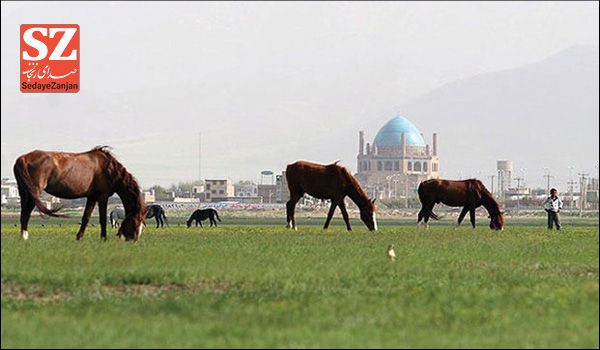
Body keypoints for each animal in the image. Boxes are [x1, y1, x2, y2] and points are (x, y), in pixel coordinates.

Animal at [13, 147, 147, 241]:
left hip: (24, 193)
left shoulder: (92, 197)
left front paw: (79, 237)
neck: (109, 169)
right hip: (33, 193)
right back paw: (25, 238)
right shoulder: (102, 196)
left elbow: (86, 218)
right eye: (135, 223)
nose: (134, 240)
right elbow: (102, 219)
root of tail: (22, 159)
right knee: (26, 214)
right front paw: (103, 238)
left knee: (23, 214)